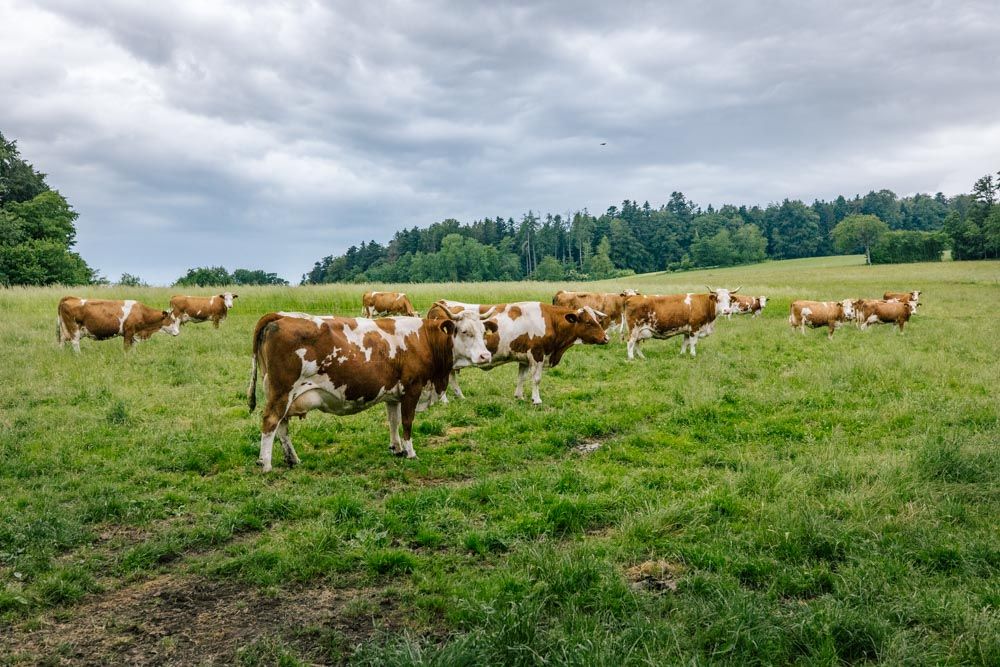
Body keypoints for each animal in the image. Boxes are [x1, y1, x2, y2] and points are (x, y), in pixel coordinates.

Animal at [247, 302, 497, 471]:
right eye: (464, 331)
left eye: (483, 332)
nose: (485, 356)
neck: (423, 339)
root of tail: (281, 316)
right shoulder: (413, 388)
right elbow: (407, 422)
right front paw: (410, 452)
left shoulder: (394, 394)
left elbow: (393, 421)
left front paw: (396, 448)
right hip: (282, 391)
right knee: (270, 422)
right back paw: (266, 464)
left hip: (282, 394)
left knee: (282, 425)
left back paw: (292, 459)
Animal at [428, 300, 609, 404]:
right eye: (588, 322)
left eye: (597, 320)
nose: (606, 338)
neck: (549, 320)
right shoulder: (537, 354)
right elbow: (536, 379)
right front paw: (536, 399)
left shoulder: (524, 358)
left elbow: (521, 377)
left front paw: (519, 396)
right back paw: (444, 400)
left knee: (452, 376)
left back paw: (459, 396)